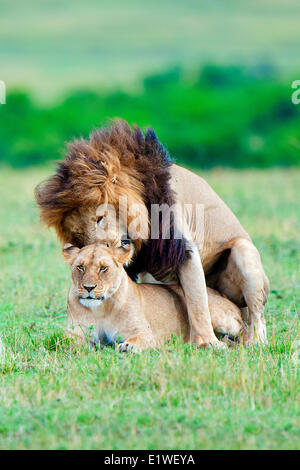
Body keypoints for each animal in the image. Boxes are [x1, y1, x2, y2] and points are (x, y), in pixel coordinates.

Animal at [62, 241, 247, 350]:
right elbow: (68, 342)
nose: (88, 288)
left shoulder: (145, 333)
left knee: (244, 329)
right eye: (80, 267)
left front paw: (127, 347)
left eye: (103, 268)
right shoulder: (74, 334)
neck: (101, 309)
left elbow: (137, 340)